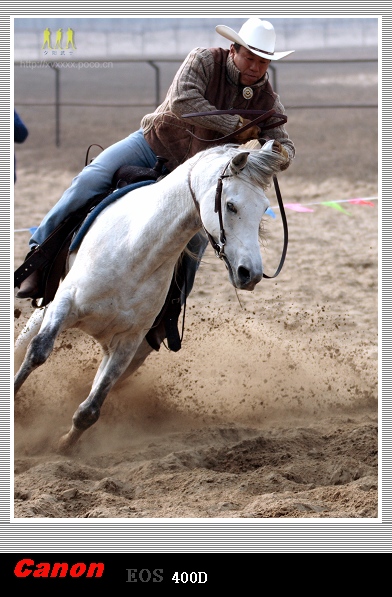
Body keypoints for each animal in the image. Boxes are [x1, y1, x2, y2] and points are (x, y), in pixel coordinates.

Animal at [14, 140, 284, 450]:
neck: (136, 251)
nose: (250, 273)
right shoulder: (65, 303)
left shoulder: (128, 342)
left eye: (264, 208)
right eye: (230, 205)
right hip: (46, 309)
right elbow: (38, 351)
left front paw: (65, 446)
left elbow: (91, 408)